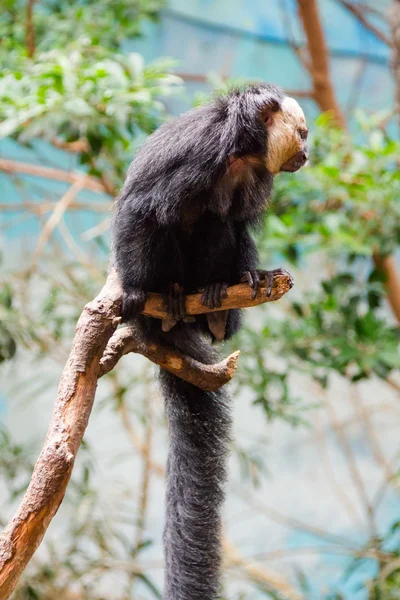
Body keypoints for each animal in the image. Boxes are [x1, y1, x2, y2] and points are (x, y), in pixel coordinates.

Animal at [112, 84, 310, 600]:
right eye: (302, 134)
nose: (306, 152)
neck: (240, 156)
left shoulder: (253, 181)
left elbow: (237, 227)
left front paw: (252, 277)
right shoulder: (200, 152)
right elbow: (140, 211)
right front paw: (136, 292)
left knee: (218, 225)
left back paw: (218, 305)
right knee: (166, 222)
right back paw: (169, 302)